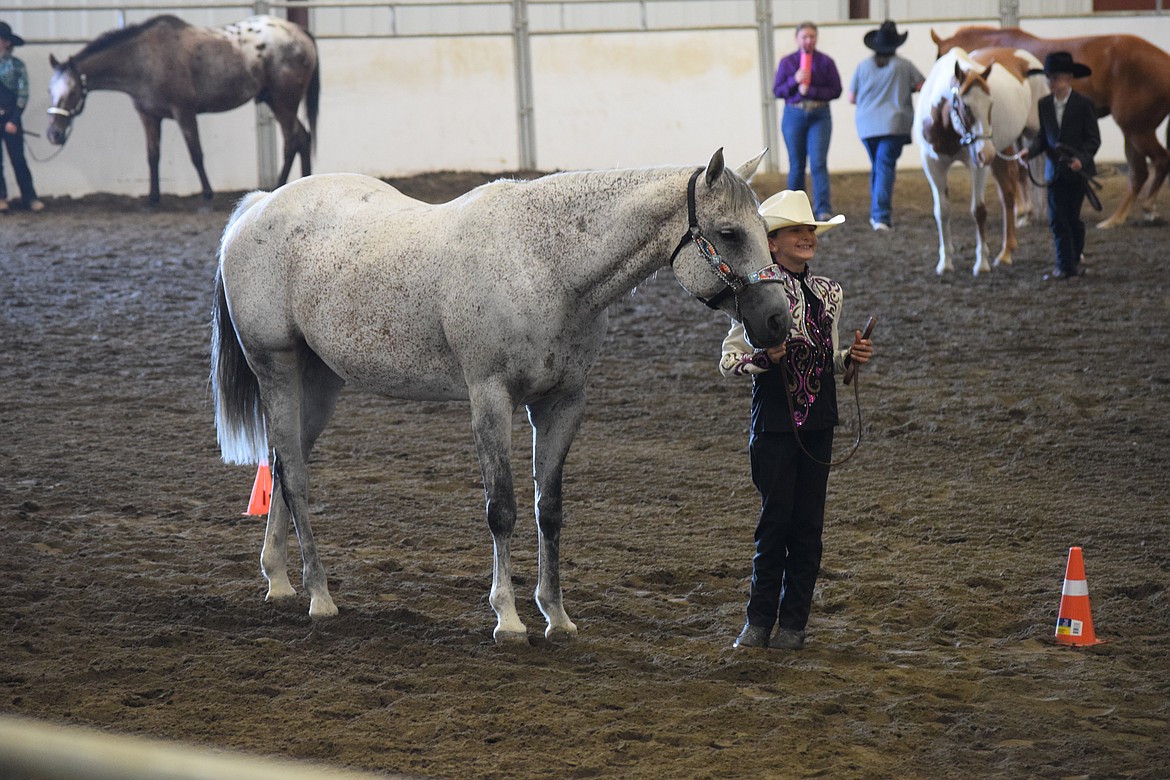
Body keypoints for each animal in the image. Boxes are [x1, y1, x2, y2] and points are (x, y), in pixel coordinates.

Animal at [48, 14, 318, 203]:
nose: (54, 134)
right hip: (277, 102)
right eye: (51, 91)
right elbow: (152, 155)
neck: (143, 59)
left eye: (72, 92)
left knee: (292, 140)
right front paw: (152, 198)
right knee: (303, 138)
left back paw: (278, 185)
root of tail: (298, 31)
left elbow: (196, 153)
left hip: (284, 102)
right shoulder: (149, 116)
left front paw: (207, 194)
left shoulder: (184, 112)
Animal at [212, 149, 795, 645]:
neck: (549, 264)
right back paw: (319, 595)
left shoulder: (562, 403)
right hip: (277, 368)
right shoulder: (490, 399)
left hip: (319, 382)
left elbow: (548, 510)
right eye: (729, 232)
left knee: (283, 466)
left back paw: (279, 581)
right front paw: (508, 618)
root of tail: (257, 207)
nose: (777, 321)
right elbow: (503, 509)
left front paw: (556, 616)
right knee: (296, 476)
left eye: (764, 231)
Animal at [907, 47, 1048, 275]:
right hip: (1002, 150)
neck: (947, 126)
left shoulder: (977, 166)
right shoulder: (933, 164)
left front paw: (981, 263)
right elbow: (942, 212)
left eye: (991, 104)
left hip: (1030, 137)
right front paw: (945, 262)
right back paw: (1006, 252)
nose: (986, 153)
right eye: (966, 107)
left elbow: (979, 211)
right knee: (1008, 194)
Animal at [931, 26, 1170, 229]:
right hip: (1132, 131)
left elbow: (1016, 169)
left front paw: (1023, 211)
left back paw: (1144, 209)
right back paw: (1117, 218)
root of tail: (1164, 60)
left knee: (1158, 161)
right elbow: (1022, 169)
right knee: (1139, 173)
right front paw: (1028, 211)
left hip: (1138, 130)